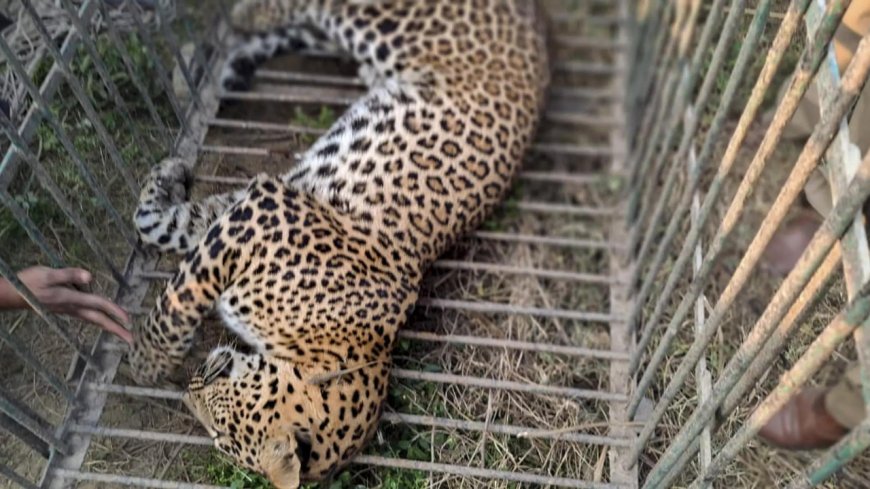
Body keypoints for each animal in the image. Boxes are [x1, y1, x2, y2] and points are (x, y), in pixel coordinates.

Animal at [128, 0, 550, 487]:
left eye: (221, 435)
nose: (188, 392)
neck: (326, 347)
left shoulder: (254, 213)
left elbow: (175, 238)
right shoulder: (261, 211)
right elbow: (175, 281)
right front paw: (146, 361)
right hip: (389, 24)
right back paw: (237, 22)